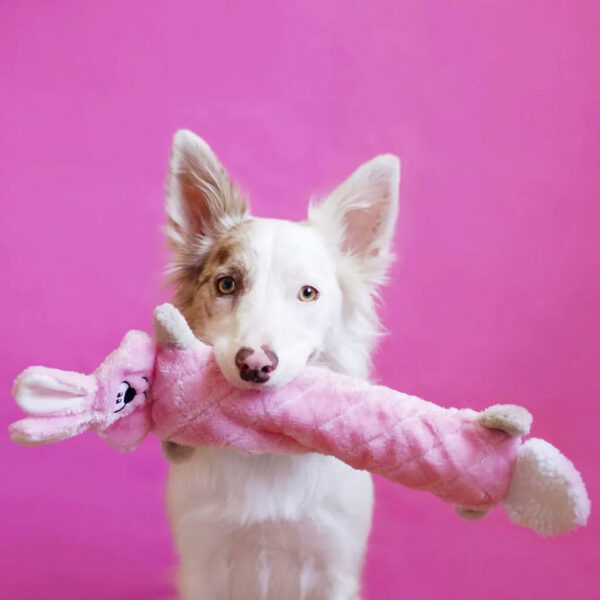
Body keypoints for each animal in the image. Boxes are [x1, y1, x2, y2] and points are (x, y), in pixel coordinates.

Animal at [162, 130, 400, 600]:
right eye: (226, 284)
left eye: (308, 293)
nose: (254, 363)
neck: (265, 453)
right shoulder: (202, 562)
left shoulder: (334, 566)